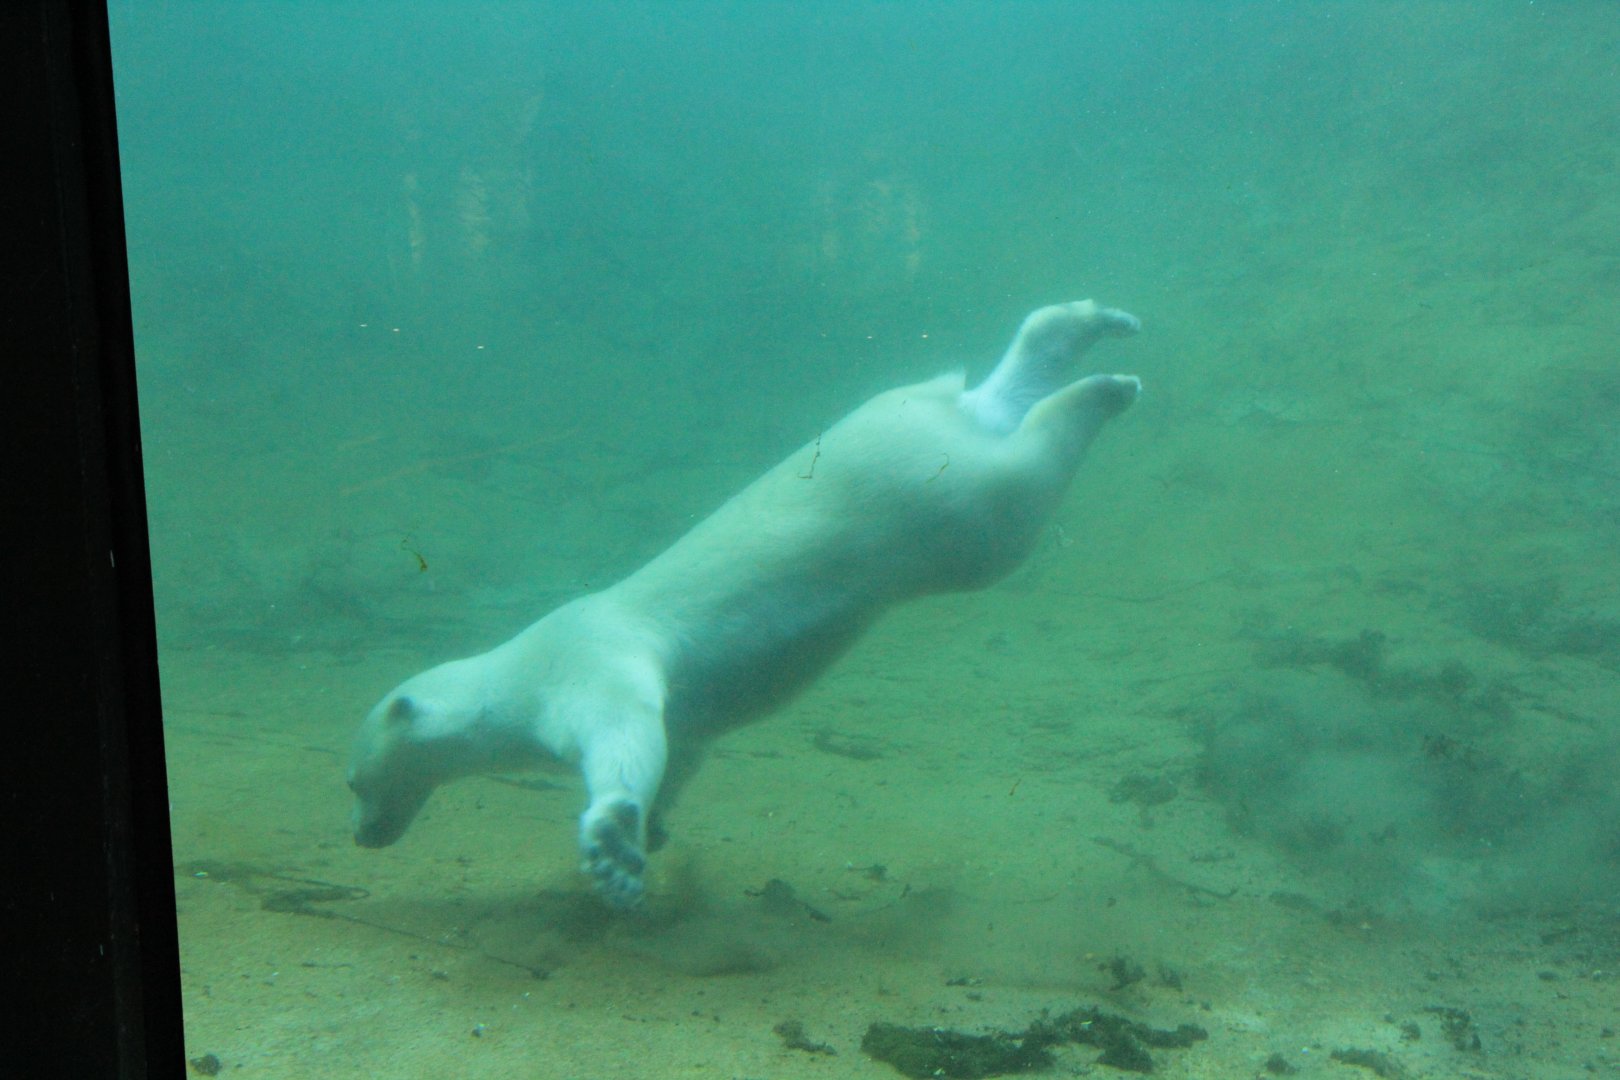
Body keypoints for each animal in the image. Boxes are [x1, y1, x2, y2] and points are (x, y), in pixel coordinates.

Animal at [348, 299, 1141, 907]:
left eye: (354, 780)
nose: (361, 835)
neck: (509, 673)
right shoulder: (677, 714)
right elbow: (679, 751)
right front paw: (655, 828)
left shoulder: (586, 662)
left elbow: (625, 737)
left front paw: (613, 854)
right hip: (902, 418)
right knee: (1002, 398)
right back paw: (1093, 323)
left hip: (940, 511)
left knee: (1018, 485)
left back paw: (1110, 386)